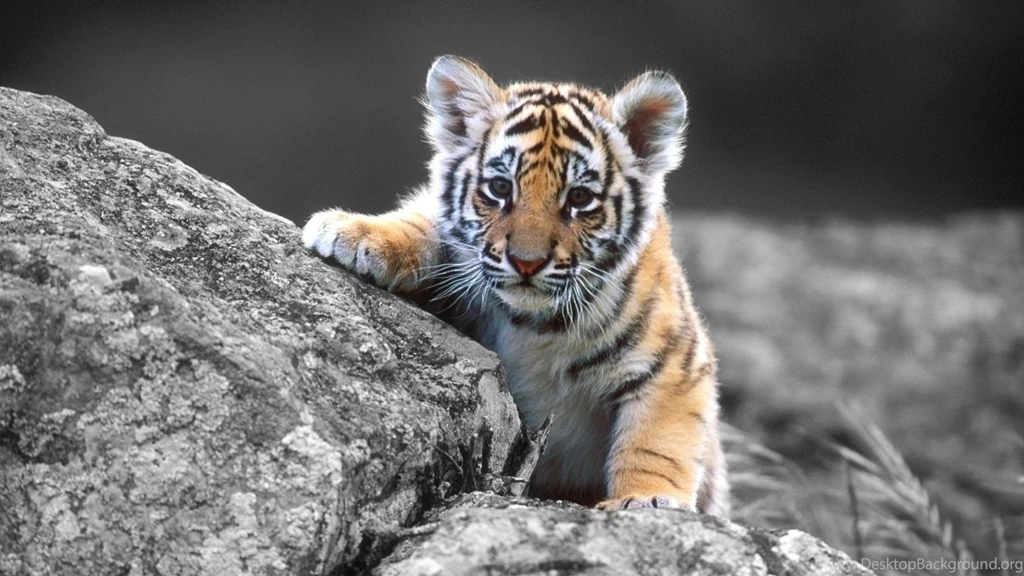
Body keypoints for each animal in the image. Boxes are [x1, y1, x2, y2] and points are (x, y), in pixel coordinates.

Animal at [302, 55, 728, 515]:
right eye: (500, 187)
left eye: (579, 198)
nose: (527, 262)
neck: (535, 325)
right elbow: (424, 221)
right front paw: (353, 232)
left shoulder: (676, 365)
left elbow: (656, 443)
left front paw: (647, 499)